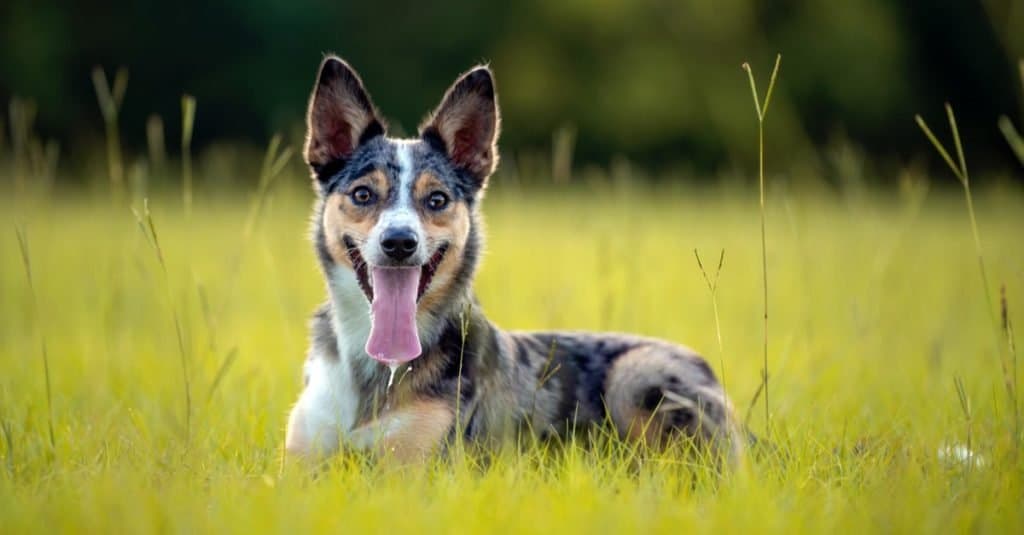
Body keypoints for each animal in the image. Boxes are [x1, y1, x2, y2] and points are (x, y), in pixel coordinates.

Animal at [284, 55, 741, 461]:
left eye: (437, 199)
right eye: (363, 194)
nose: (399, 242)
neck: (375, 368)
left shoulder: (414, 468)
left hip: (638, 373)